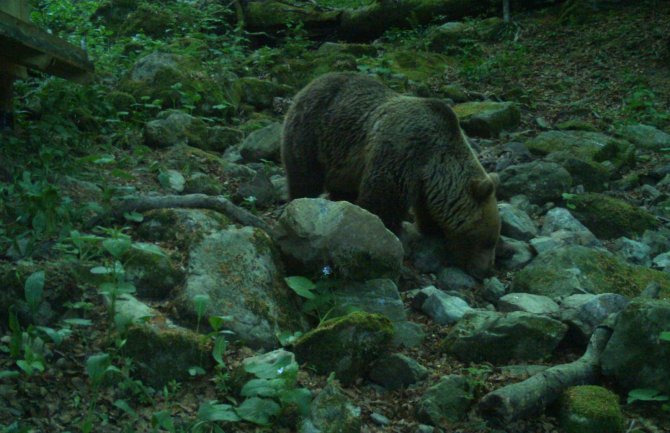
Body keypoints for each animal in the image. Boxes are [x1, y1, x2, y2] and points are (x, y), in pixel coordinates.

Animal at [280, 71, 502, 276]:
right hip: (312, 133)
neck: (435, 162)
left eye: (493, 240)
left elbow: (427, 211)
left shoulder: (425, 184)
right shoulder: (403, 152)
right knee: (305, 176)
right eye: (488, 241)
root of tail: (312, 82)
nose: (487, 270)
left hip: (342, 161)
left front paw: (433, 230)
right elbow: (382, 199)